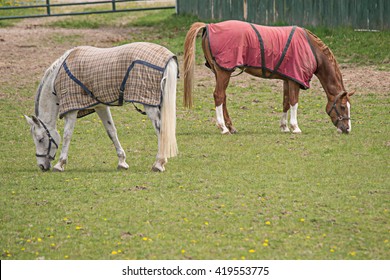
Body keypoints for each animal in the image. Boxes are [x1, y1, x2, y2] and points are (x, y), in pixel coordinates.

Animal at [24, 43, 177, 172]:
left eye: (40, 139)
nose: (41, 166)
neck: (57, 76)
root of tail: (168, 58)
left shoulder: (71, 110)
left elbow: (67, 135)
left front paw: (60, 164)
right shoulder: (100, 106)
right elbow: (111, 132)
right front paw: (122, 162)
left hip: (149, 104)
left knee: (160, 129)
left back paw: (159, 163)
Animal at [183, 20, 354, 134]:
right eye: (343, 107)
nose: (347, 129)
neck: (311, 49)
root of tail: (209, 26)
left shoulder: (288, 78)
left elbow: (286, 102)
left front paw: (284, 127)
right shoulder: (295, 80)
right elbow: (294, 102)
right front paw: (295, 127)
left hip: (221, 73)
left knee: (222, 97)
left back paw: (231, 127)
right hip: (224, 72)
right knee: (218, 95)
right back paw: (223, 128)